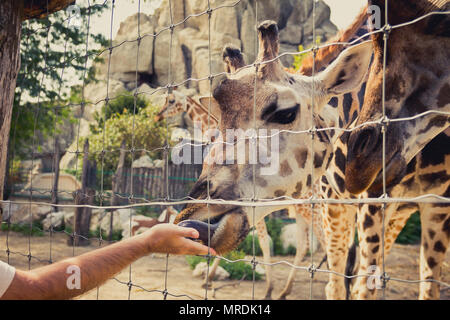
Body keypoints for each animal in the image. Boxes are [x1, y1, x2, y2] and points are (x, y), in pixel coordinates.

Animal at [156, 85, 326, 300]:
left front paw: (268, 289)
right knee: (306, 243)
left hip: (308, 208)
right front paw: (209, 278)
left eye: (171, 100)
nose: (157, 116)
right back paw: (288, 289)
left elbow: (262, 241)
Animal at [342, 0, 450, 300]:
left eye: (444, 23)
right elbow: (364, 288)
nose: (358, 166)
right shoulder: (371, 203)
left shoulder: (438, 206)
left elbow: (429, 285)